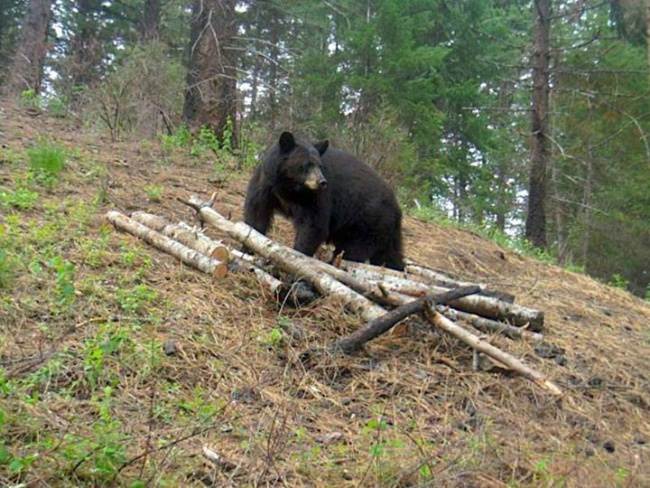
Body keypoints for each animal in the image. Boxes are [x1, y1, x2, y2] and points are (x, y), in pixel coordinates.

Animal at [243, 131, 404, 270]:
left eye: (319, 165)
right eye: (306, 164)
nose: (322, 182)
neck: (288, 187)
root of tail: (397, 209)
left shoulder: (316, 197)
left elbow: (314, 225)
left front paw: (297, 257)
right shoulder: (266, 184)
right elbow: (257, 213)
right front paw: (247, 247)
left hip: (367, 222)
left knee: (354, 250)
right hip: (382, 230)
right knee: (389, 254)